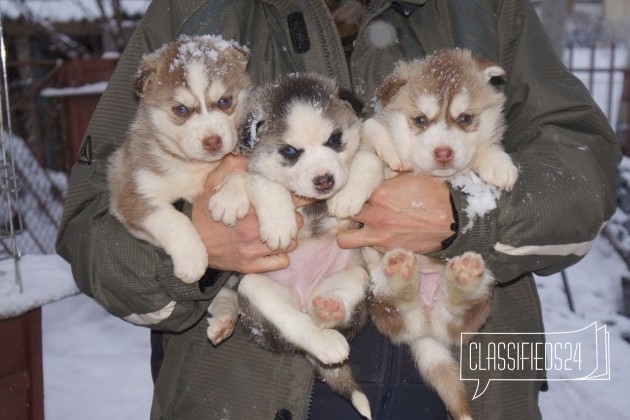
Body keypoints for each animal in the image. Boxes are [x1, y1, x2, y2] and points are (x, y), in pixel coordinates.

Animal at [107, 35, 251, 282]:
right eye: (181, 109)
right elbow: (174, 220)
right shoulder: (133, 194)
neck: (193, 166)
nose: (212, 141)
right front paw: (192, 259)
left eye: (225, 101)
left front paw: (229, 198)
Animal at [207, 74, 376, 418]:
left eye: (335, 139)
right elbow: (258, 179)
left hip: (357, 274)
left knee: (333, 312)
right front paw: (276, 222)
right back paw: (323, 341)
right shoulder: (253, 167)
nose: (325, 180)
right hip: (257, 288)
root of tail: (305, 297)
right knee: (294, 324)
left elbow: (367, 156)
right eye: (289, 151)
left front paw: (348, 195)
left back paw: (328, 310)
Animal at [330, 50, 520, 420]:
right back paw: (403, 273)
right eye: (420, 120)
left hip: (480, 296)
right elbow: (369, 158)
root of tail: (426, 328)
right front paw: (348, 196)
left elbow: (485, 148)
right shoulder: (374, 153)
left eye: (465, 118)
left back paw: (461, 277)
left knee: (456, 313)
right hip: (380, 297)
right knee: (399, 301)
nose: (443, 152)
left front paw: (500, 164)